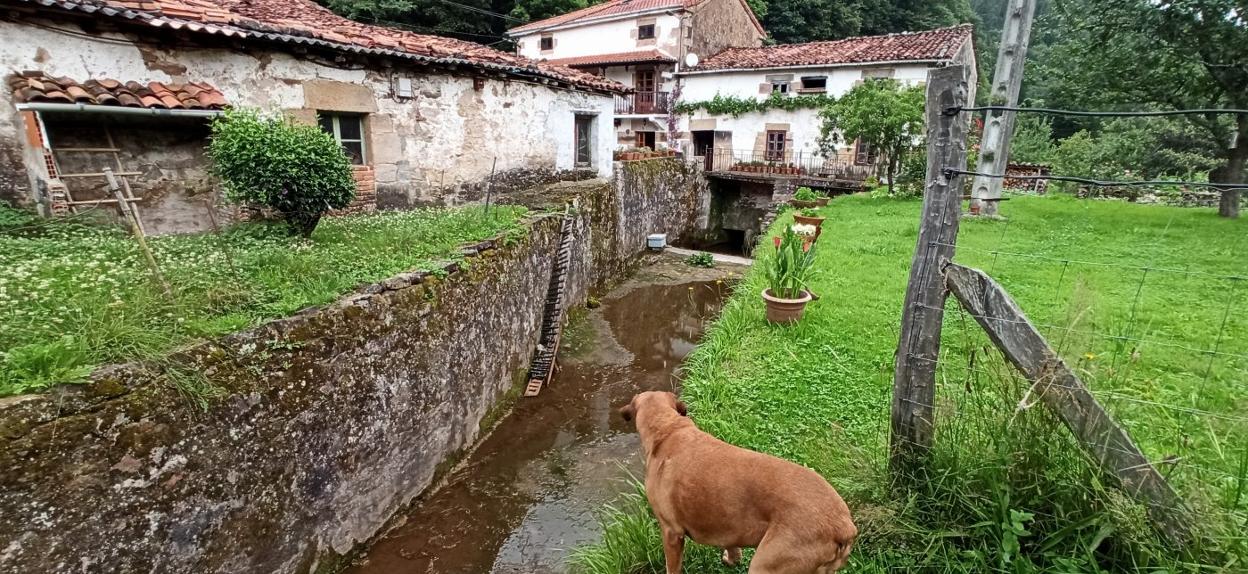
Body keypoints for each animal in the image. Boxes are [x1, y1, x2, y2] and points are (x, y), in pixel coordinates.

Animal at [619, 391, 853, 571]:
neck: (668, 428)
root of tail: (843, 525)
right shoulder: (728, 524)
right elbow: (732, 544)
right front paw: (732, 559)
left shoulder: (671, 533)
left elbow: (672, 567)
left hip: (765, 565)